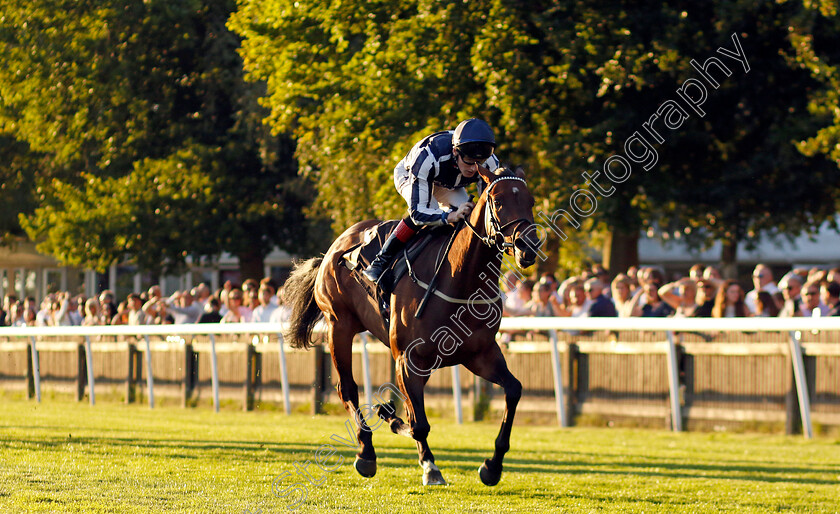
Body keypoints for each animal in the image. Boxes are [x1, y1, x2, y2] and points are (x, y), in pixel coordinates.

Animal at [286, 164, 540, 484]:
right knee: (348, 389)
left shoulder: (480, 355)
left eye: (531, 201)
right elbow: (417, 423)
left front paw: (492, 466)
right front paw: (425, 460)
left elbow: (514, 390)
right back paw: (366, 452)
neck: (461, 281)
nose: (528, 246)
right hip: (339, 325)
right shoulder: (408, 359)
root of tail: (335, 247)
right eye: (498, 201)